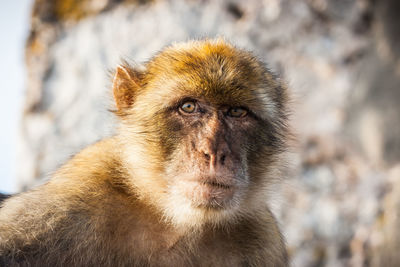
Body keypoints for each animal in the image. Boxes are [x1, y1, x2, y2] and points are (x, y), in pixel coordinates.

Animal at [0, 39, 290, 267]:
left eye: (237, 112)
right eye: (188, 106)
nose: (213, 152)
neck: (176, 222)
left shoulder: (261, 238)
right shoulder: (71, 199)